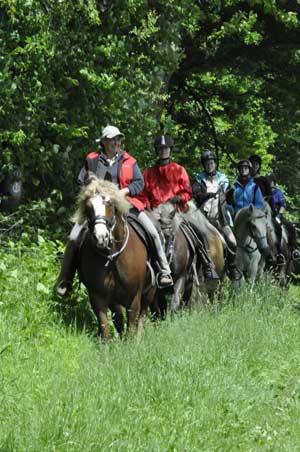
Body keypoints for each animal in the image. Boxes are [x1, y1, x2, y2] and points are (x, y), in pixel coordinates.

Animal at [73, 177, 150, 340]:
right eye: (88, 206)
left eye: (108, 203)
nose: (100, 237)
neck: (112, 257)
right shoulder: (98, 297)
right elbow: (106, 327)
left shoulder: (134, 297)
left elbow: (132, 325)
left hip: (150, 291)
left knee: (142, 315)